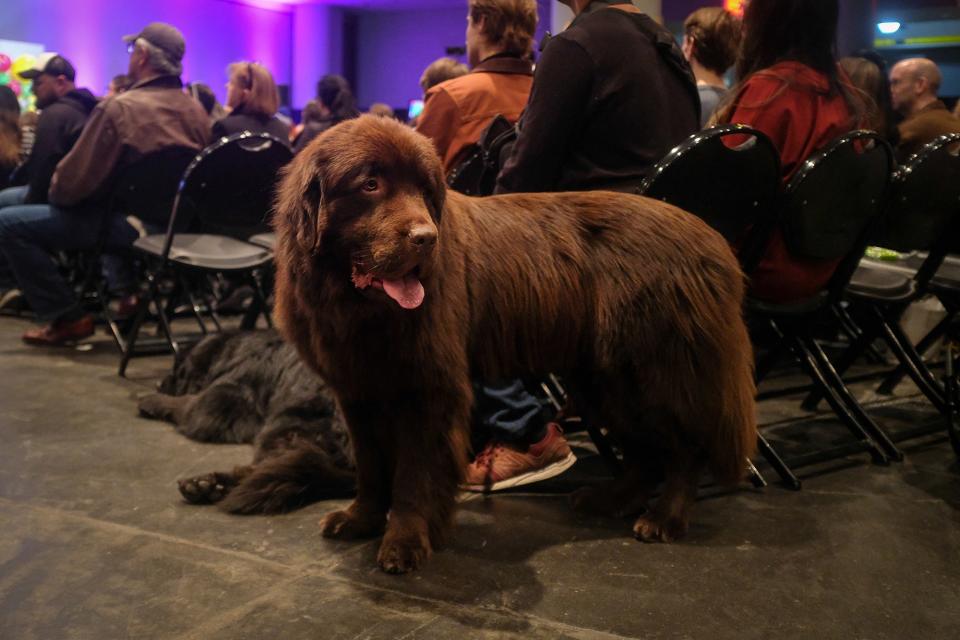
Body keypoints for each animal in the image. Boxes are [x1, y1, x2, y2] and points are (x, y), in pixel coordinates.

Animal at [137, 332, 354, 512]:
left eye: (177, 370)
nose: (159, 383)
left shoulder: (220, 401)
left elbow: (185, 403)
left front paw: (149, 400)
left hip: (287, 427)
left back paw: (207, 485)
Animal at [272, 116, 756, 576]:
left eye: (424, 190)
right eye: (370, 185)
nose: (426, 238)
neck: (360, 309)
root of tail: (713, 240)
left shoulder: (427, 391)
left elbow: (414, 473)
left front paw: (405, 542)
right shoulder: (355, 389)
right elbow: (370, 466)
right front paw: (360, 519)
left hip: (653, 371)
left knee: (685, 448)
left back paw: (664, 518)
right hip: (599, 380)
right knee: (644, 451)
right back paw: (610, 499)